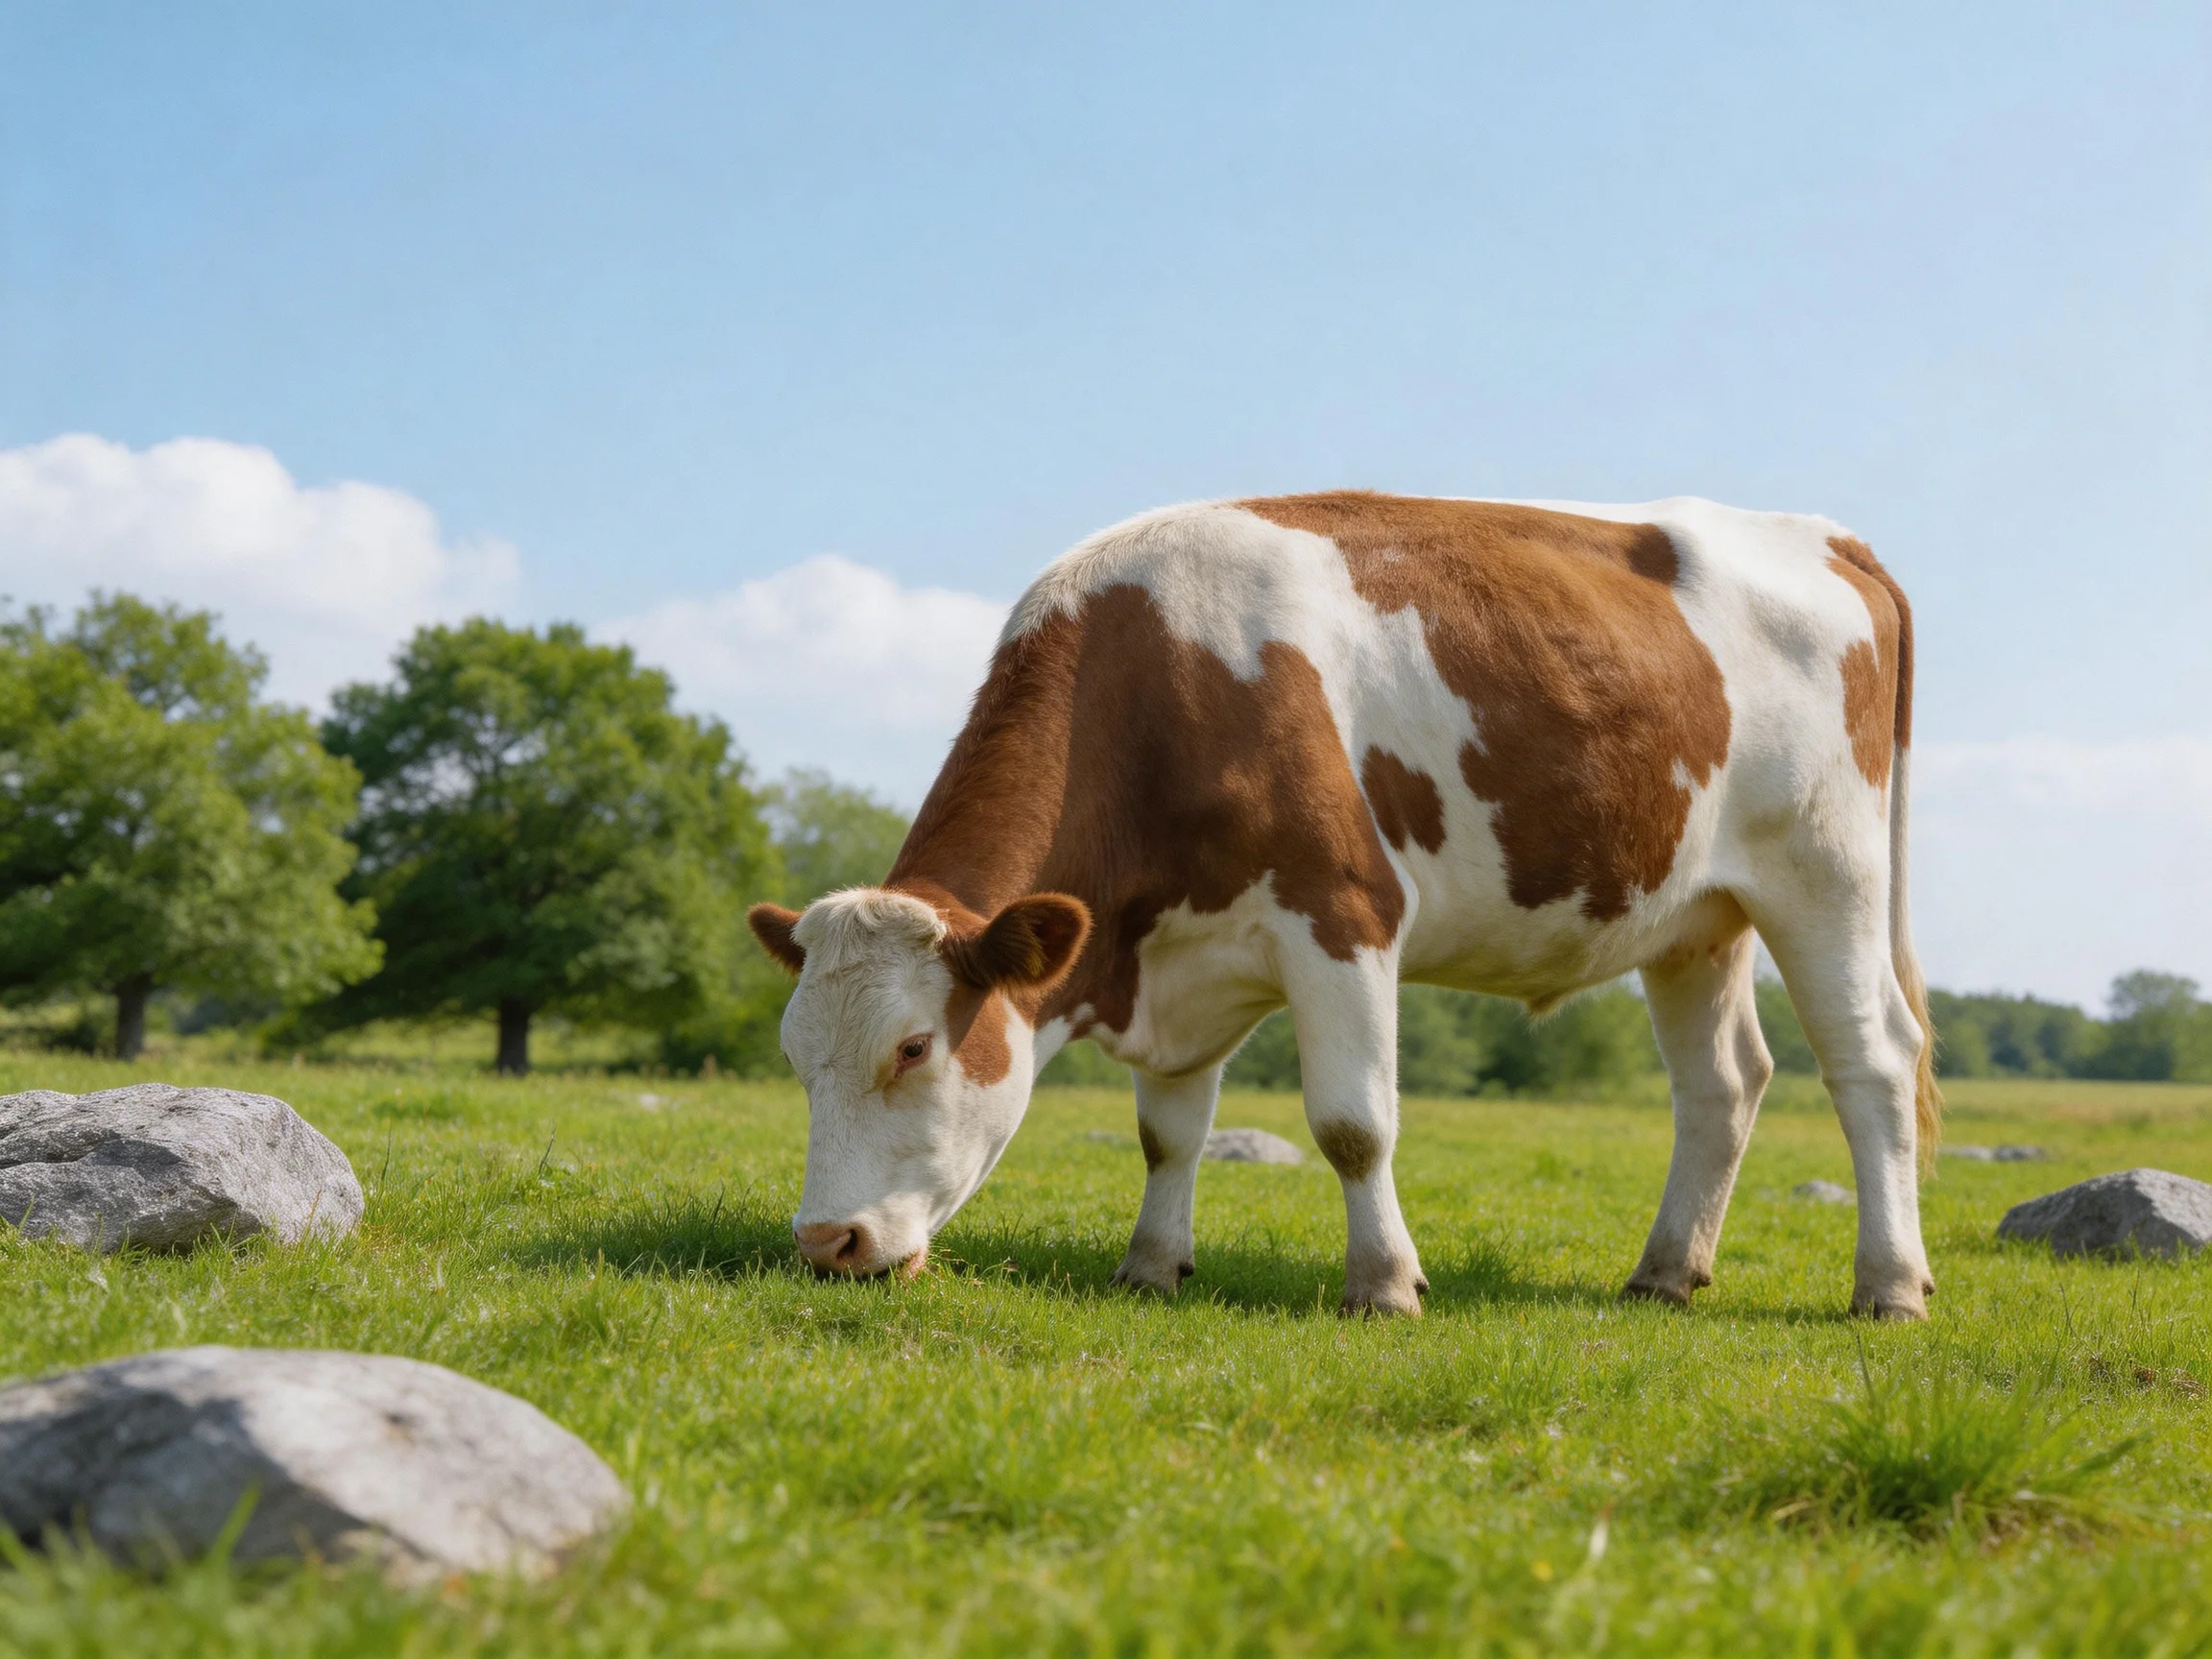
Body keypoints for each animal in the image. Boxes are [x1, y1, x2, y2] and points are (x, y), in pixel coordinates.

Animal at [748, 492, 1941, 1319]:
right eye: (794, 1055)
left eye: (911, 1048)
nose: (824, 1244)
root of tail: (1827, 537)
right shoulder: (1183, 960)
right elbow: (1168, 1132)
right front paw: (1151, 1265)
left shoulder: (1343, 914)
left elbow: (1353, 1125)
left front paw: (1384, 1284)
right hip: (1698, 916)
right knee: (1724, 1083)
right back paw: (1663, 1273)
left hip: (1825, 875)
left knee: (1872, 1062)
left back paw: (1888, 1284)